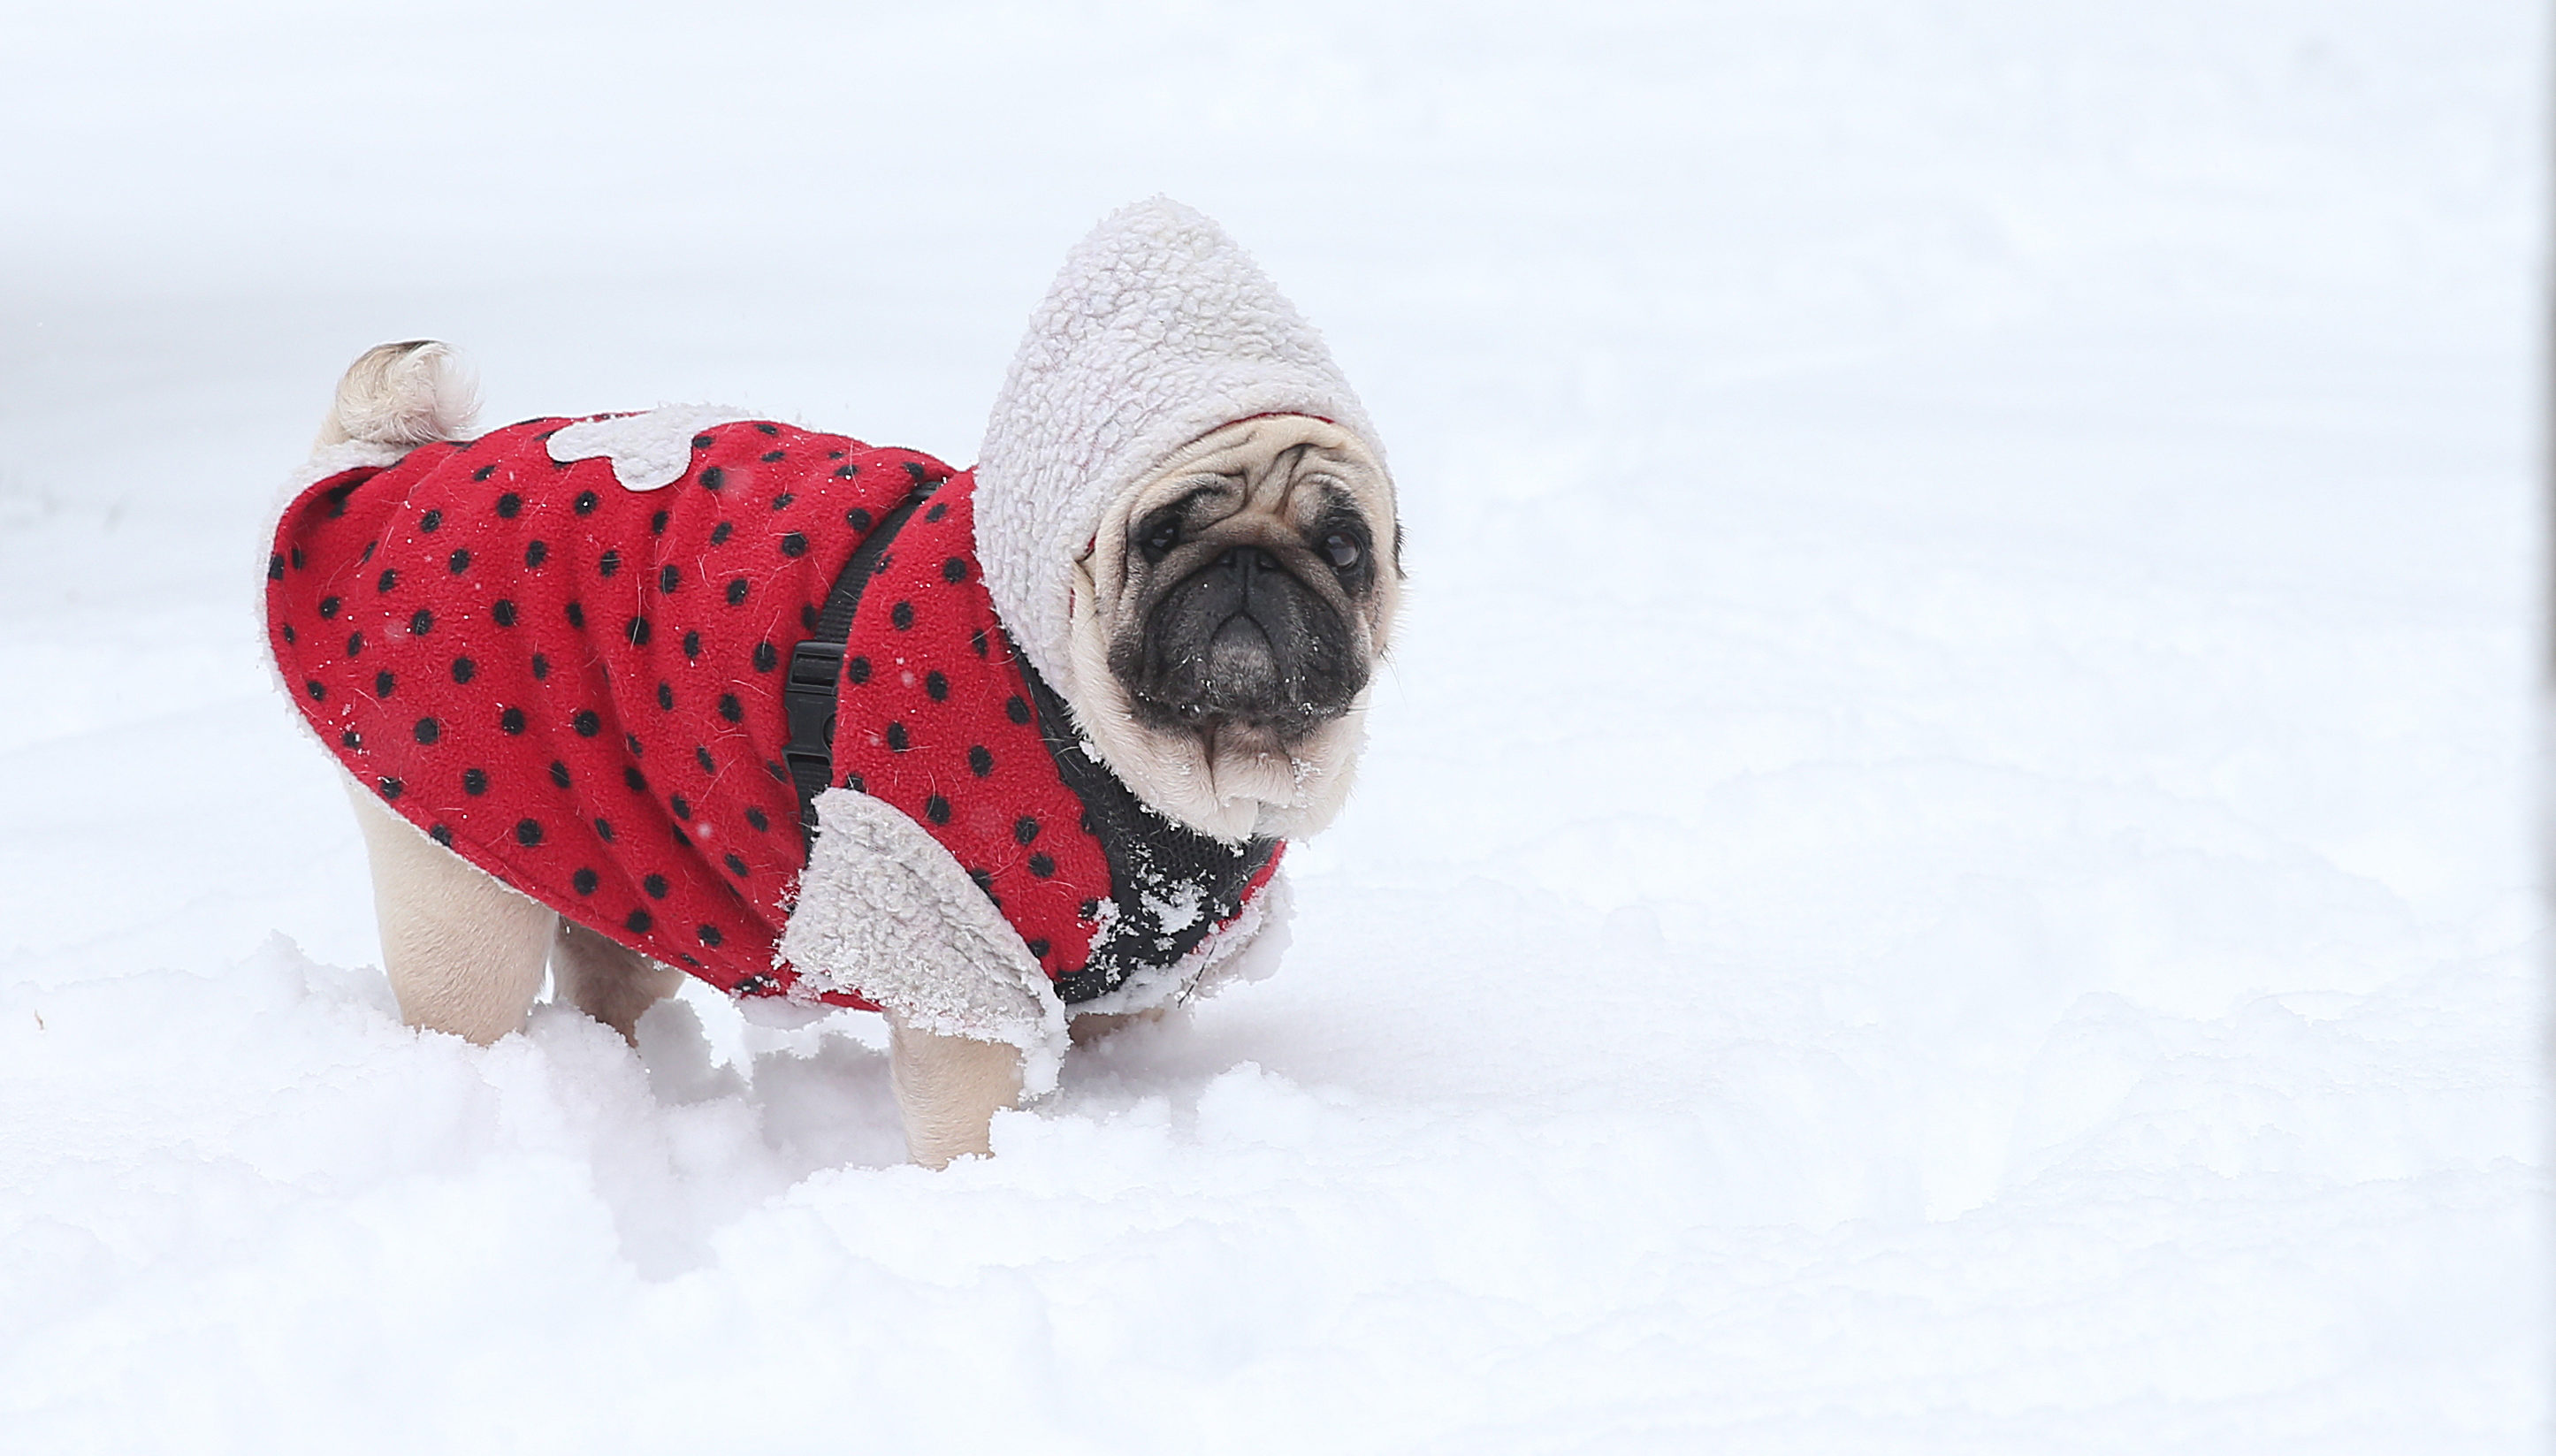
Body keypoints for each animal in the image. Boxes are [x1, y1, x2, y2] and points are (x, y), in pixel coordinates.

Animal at [264, 197, 1400, 1159]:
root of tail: (381, 467)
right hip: (464, 903)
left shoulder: (1134, 988)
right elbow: (965, 1126)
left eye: (1345, 549)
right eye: (1160, 535)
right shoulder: (954, 964)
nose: (1250, 563)